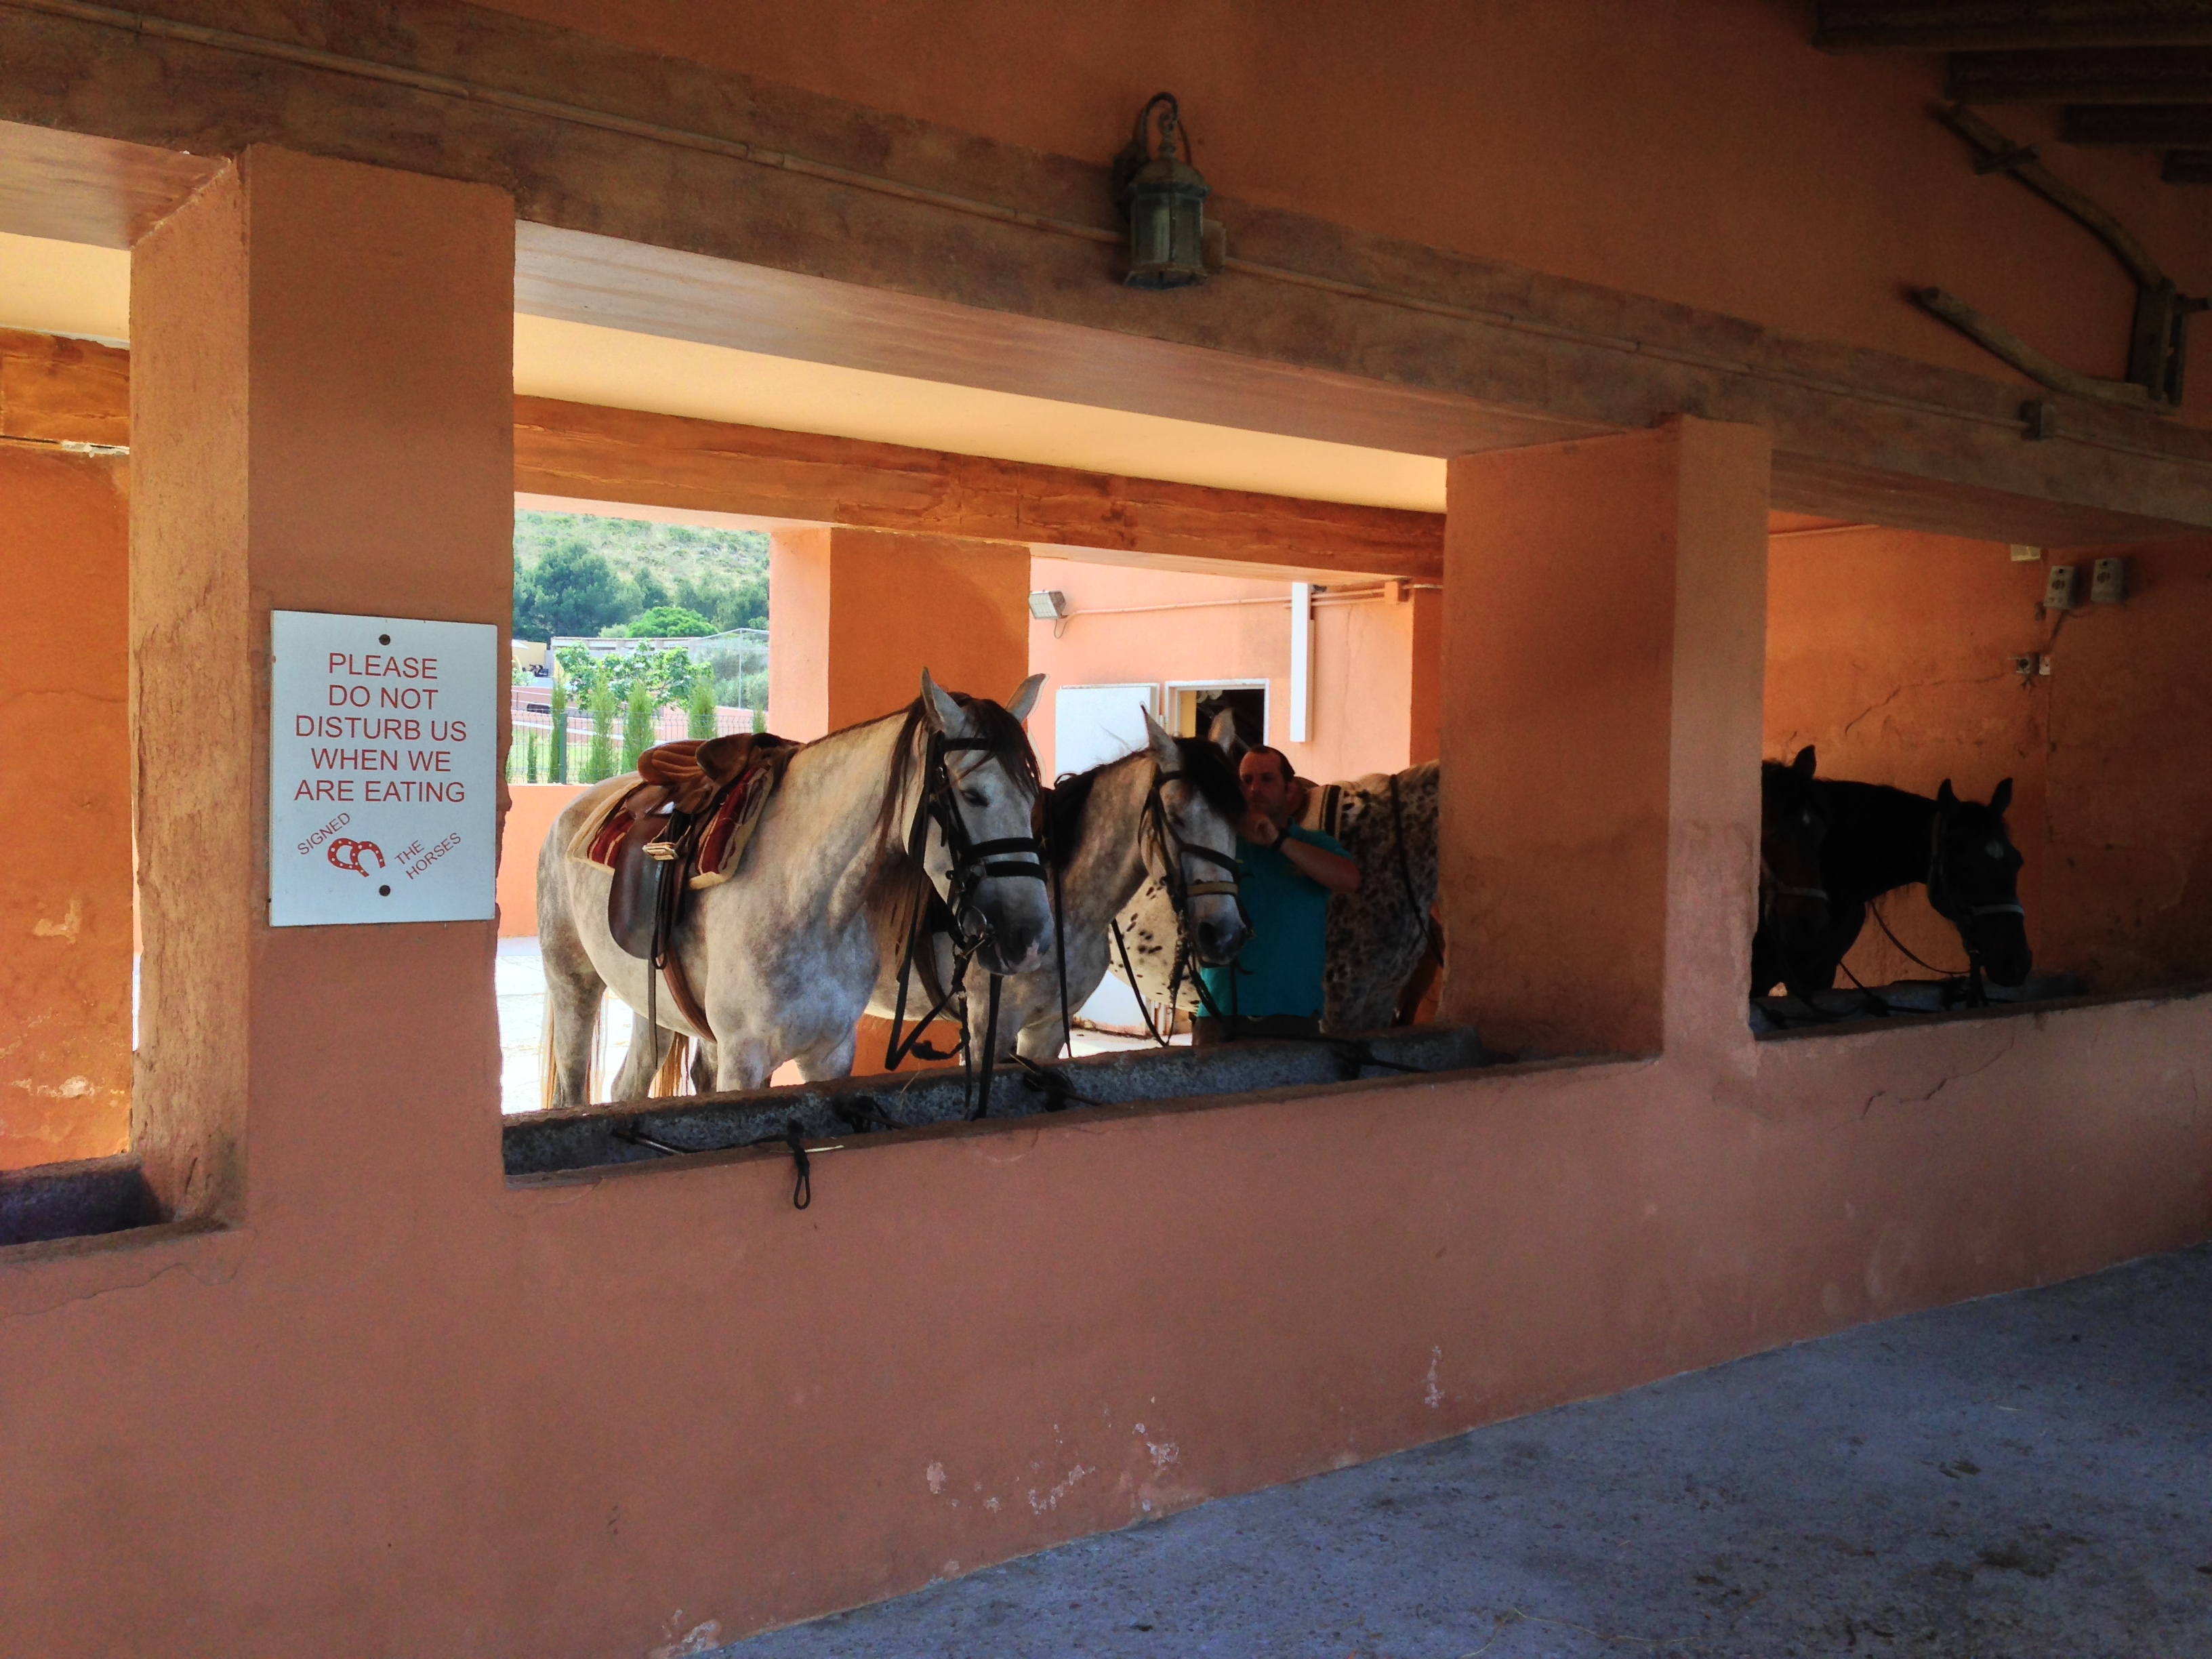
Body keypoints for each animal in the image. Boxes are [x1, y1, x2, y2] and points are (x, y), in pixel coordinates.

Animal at [536, 671, 1053, 1104]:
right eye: (973, 795)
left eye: (1034, 797)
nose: (1028, 940)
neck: (811, 904)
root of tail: (573, 810)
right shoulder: (743, 1059)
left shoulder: (829, 1056)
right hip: (573, 986)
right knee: (572, 1089)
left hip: (653, 1006)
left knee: (628, 1086)